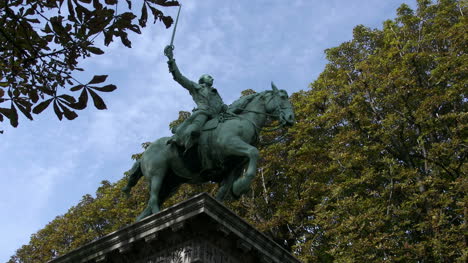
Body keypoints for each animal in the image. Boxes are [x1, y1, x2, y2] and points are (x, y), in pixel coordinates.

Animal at [123, 83, 292, 222]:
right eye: (283, 97)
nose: (291, 118)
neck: (243, 121)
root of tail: (144, 155)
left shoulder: (233, 167)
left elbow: (223, 191)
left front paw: (231, 194)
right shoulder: (230, 144)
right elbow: (254, 152)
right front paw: (241, 187)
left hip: (171, 183)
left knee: (147, 208)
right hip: (157, 174)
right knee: (153, 199)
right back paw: (159, 217)